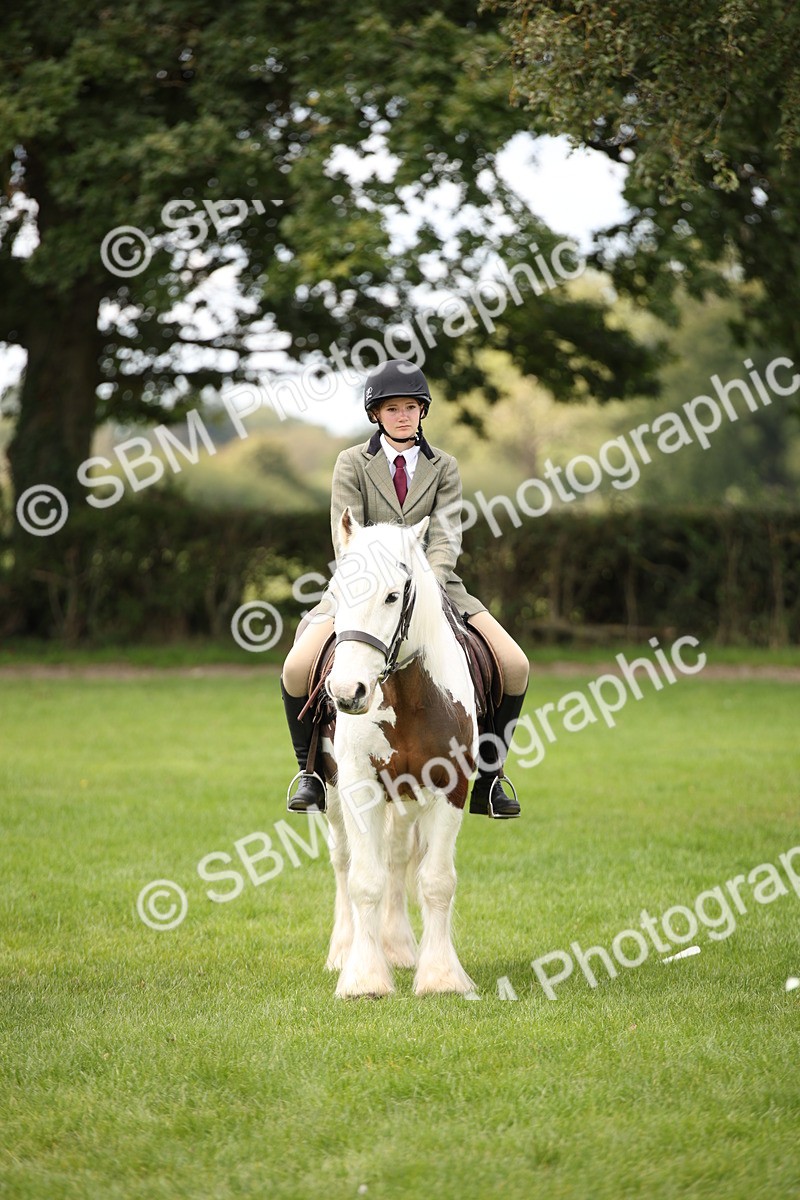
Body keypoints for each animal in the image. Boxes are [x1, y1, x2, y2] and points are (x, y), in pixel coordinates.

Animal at [320, 506, 479, 998]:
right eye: (336, 592)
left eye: (393, 596)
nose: (346, 692)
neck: (408, 694)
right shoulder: (357, 786)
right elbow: (364, 880)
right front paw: (363, 978)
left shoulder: (451, 785)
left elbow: (437, 880)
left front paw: (441, 977)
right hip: (331, 793)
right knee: (343, 859)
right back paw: (343, 950)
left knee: (396, 855)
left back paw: (399, 948)